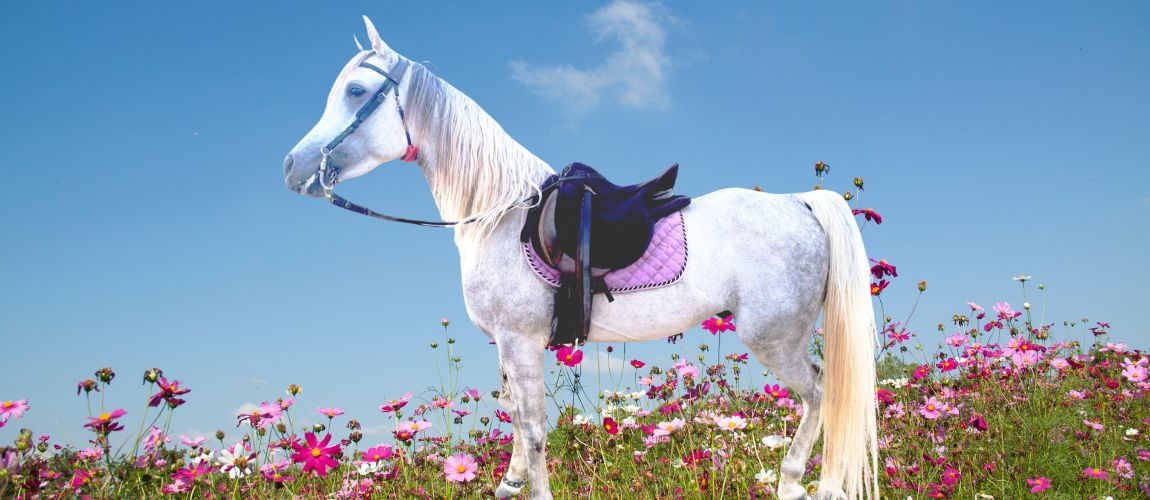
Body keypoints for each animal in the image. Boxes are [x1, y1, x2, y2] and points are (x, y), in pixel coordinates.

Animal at [283, 16, 879, 500]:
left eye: (355, 91)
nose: (293, 166)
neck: (500, 213)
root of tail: (800, 201)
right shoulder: (509, 347)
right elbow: (515, 417)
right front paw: (509, 483)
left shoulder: (521, 341)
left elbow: (534, 429)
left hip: (774, 337)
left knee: (821, 394)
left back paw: (800, 483)